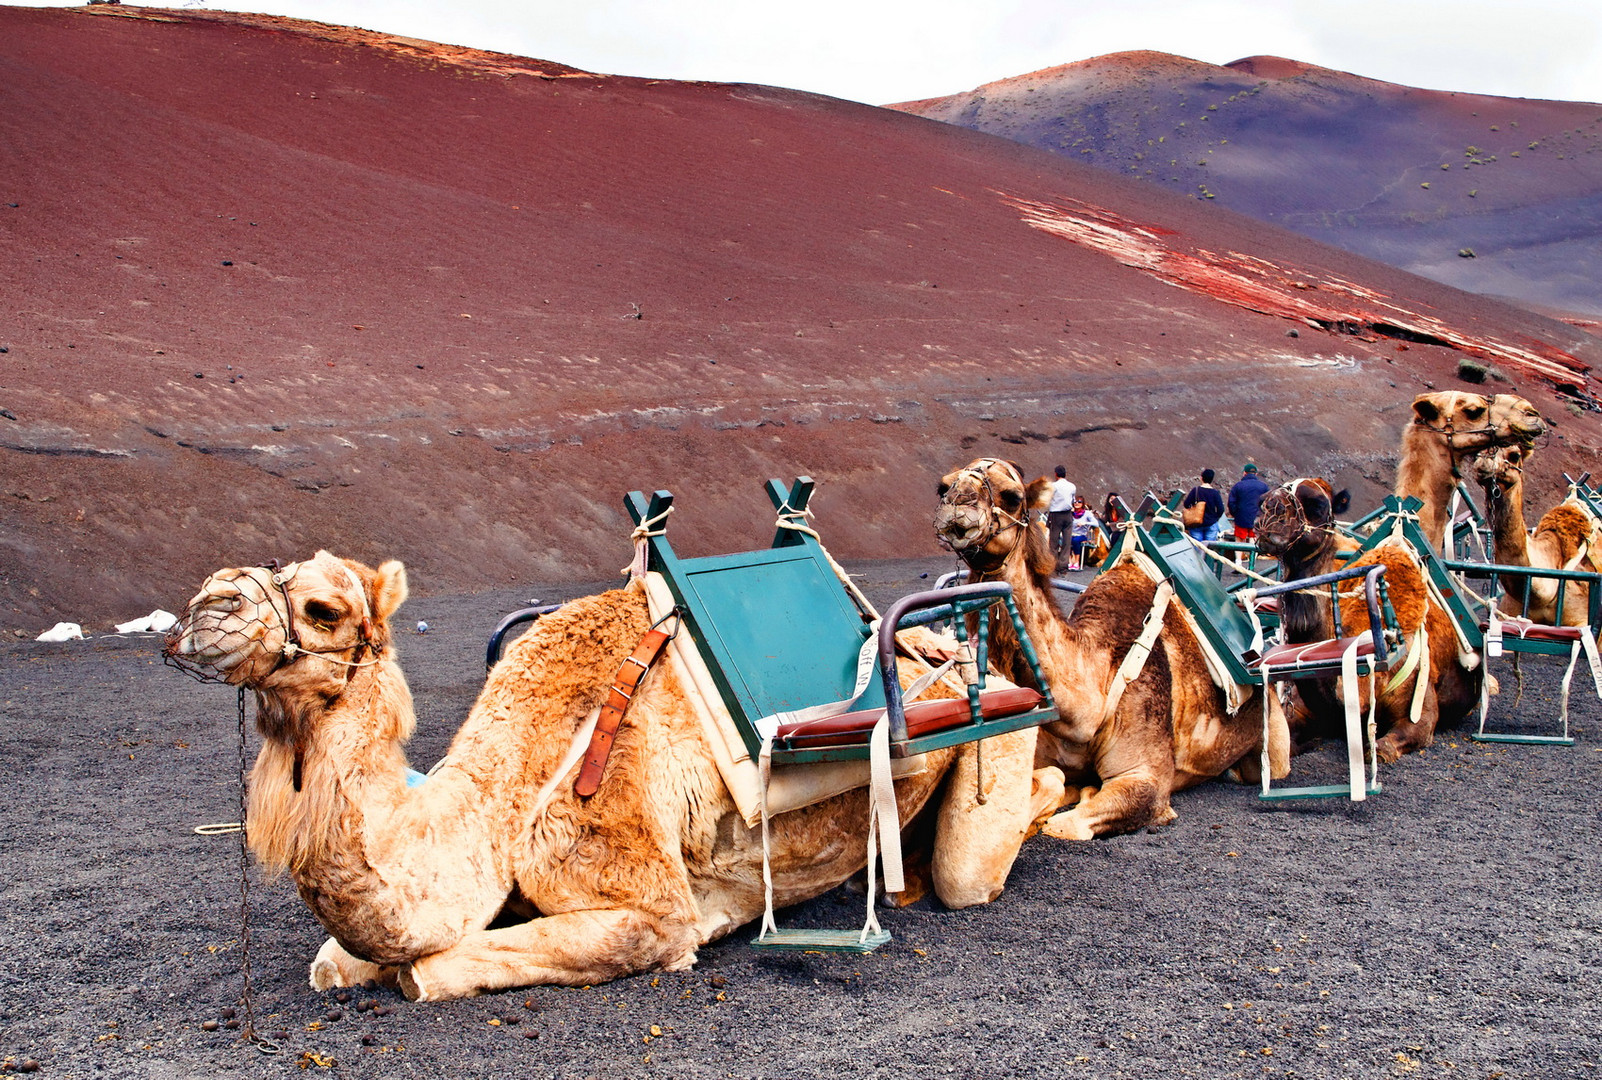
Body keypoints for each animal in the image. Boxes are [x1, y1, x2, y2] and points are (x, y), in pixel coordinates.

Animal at [165, 551, 1063, 999]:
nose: (206, 605)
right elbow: (333, 962)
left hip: (1008, 726)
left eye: (323, 609)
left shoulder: (649, 902)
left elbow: (427, 969)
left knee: (982, 854)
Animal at [929, 455, 1288, 839]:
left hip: (1273, 737)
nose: (957, 504)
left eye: (1012, 496)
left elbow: (1063, 825)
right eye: (943, 485)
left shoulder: (1145, 776)